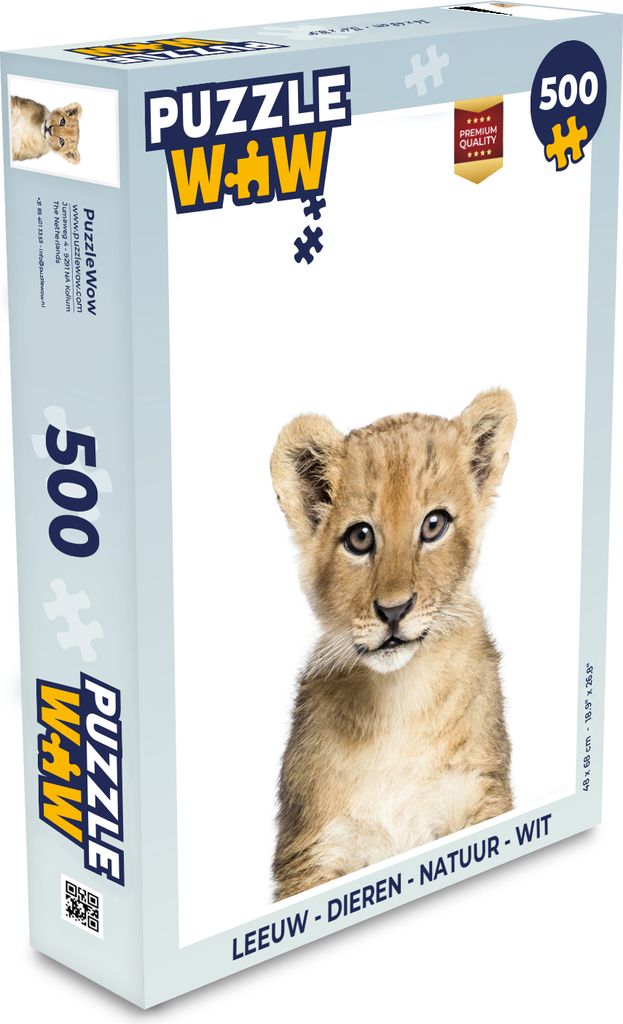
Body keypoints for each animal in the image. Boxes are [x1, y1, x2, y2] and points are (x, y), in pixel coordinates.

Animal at [270, 389, 516, 900]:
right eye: (360, 537)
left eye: (434, 525)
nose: (394, 611)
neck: (400, 703)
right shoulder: (314, 850)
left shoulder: (480, 796)